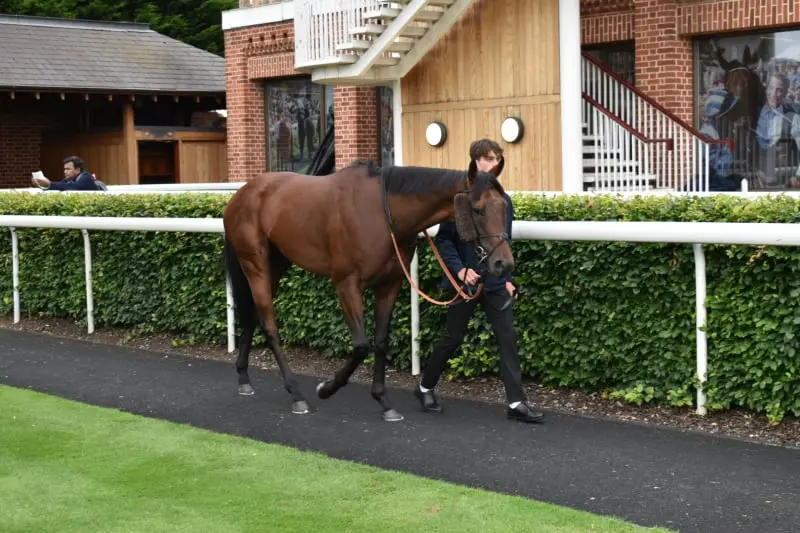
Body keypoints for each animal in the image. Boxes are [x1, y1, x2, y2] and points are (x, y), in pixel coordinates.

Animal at [222, 158, 516, 420]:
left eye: (503, 206)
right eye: (478, 209)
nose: (503, 263)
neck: (383, 215)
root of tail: (242, 194)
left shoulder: (389, 284)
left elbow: (381, 341)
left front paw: (384, 401)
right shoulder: (347, 283)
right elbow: (362, 346)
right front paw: (326, 388)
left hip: (277, 262)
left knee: (253, 315)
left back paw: (243, 377)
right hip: (255, 263)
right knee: (269, 323)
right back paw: (297, 394)